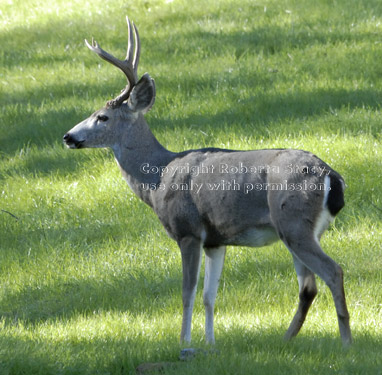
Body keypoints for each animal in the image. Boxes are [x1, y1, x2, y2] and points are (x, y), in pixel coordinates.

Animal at [62, 16, 352, 346]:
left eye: (102, 117)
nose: (68, 137)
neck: (158, 177)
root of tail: (332, 176)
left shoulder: (188, 230)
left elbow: (187, 293)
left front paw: (184, 344)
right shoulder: (216, 240)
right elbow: (209, 295)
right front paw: (210, 344)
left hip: (293, 223)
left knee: (333, 272)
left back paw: (346, 342)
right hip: (295, 230)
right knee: (308, 286)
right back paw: (286, 338)